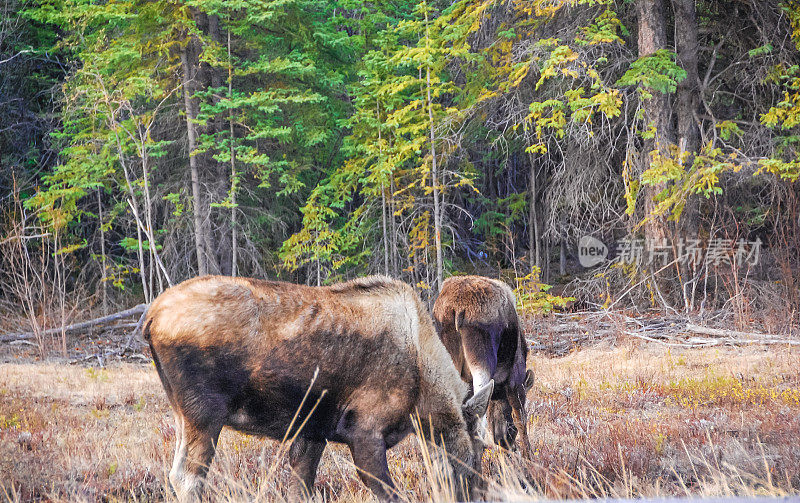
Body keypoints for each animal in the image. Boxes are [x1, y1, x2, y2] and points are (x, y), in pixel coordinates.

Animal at [145, 278, 494, 502]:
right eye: (475, 453)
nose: (478, 495)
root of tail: (150, 319)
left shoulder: (312, 433)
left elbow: (300, 487)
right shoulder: (363, 430)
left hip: (181, 413)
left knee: (176, 474)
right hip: (205, 414)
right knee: (188, 478)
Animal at [432, 278, 532, 454]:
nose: (506, 443)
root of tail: (455, 310)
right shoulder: (516, 377)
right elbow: (521, 418)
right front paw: (529, 457)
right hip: (481, 359)